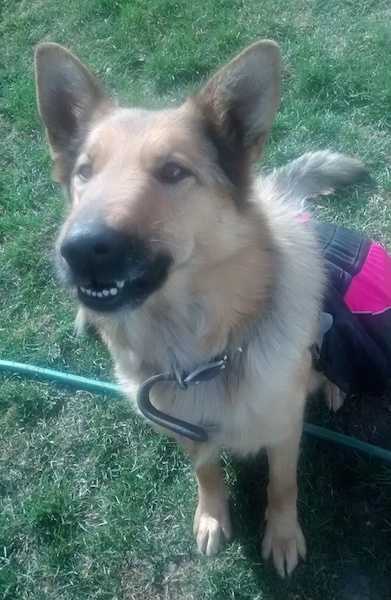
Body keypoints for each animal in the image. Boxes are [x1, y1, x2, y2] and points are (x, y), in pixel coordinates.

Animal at [35, 39, 370, 576]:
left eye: (173, 172)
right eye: (85, 172)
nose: (79, 249)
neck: (199, 352)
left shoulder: (284, 430)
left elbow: (283, 485)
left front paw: (282, 535)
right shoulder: (186, 431)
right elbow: (207, 471)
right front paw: (213, 515)